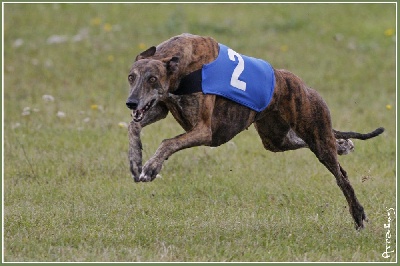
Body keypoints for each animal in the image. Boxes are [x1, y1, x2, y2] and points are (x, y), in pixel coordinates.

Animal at [125, 32, 384, 229]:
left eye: (152, 78)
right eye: (131, 77)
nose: (131, 102)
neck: (181, 64)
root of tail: (302, 84)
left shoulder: (204, 130)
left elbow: (168, 141)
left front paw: (151, 167)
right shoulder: (160, 109)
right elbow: (133, 125)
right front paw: (136, 160)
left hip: (316, 135)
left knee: (342, 177)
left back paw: (358, 214)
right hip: (276, 139)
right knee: (303, 141)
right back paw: (343, 145)